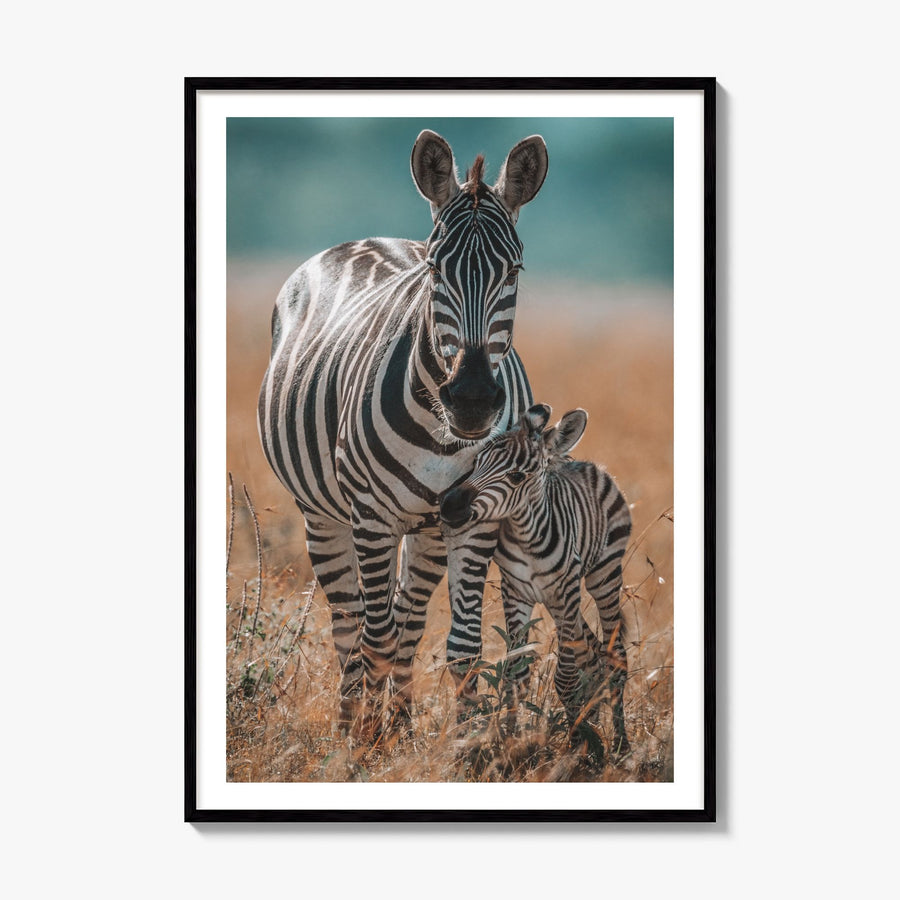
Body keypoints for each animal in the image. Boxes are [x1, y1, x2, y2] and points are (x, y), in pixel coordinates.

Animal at [257, 130, 549, 734]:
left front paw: (467, 742)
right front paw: (368, 743)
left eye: (514, 272)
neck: (444, 437)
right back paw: (352, 727)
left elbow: (462, 645)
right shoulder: (370, 515)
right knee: (353, 626)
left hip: (429, 527)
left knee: (408, 619)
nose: (472, 399)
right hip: (323, 515)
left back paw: (401, 724)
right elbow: (375, 638)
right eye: (436, 271)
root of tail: (368, 239)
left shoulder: (476, 517)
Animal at [439, 403, 632, 756]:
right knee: (593, 652)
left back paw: (621, 745)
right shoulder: (515, 592)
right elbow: (515, 674)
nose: (449, 505)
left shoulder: (567, 591)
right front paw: (511, 741)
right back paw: (592, 722)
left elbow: (566, 678)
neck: (527, 536)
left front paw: (576, 745)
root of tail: (585, 463)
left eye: (516, 476)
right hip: (559, 599)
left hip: (604, 575)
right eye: (477, 461)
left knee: (615, 657)